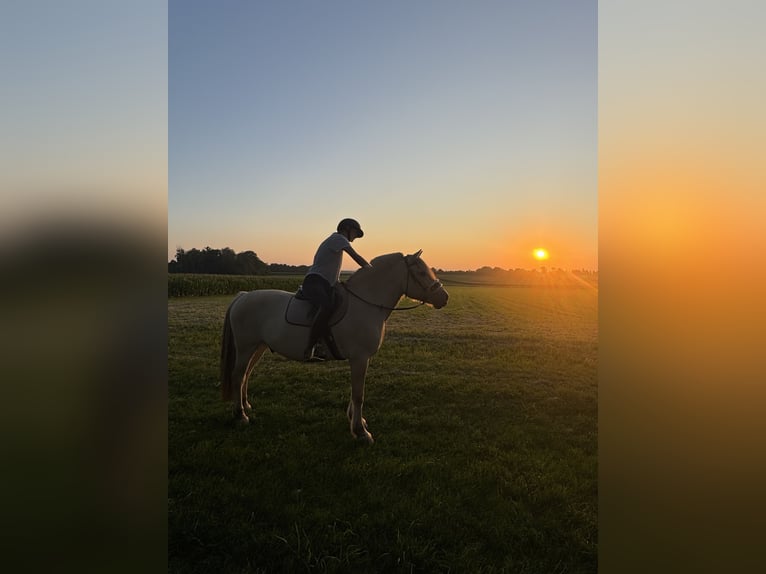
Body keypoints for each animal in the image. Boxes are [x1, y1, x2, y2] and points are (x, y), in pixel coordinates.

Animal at [220, 250, 449, 443]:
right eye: (421, 272)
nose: (444, 297)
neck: (366, 303)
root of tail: (243, 296)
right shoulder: (359, 358)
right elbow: (359, 394)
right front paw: (361, 432)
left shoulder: (360, 360)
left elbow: (355, 393)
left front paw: (357, 421)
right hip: (246, 347)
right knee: (238, 375)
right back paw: (241, 415)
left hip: (257, 347)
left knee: (246, 375)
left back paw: (245, 406)